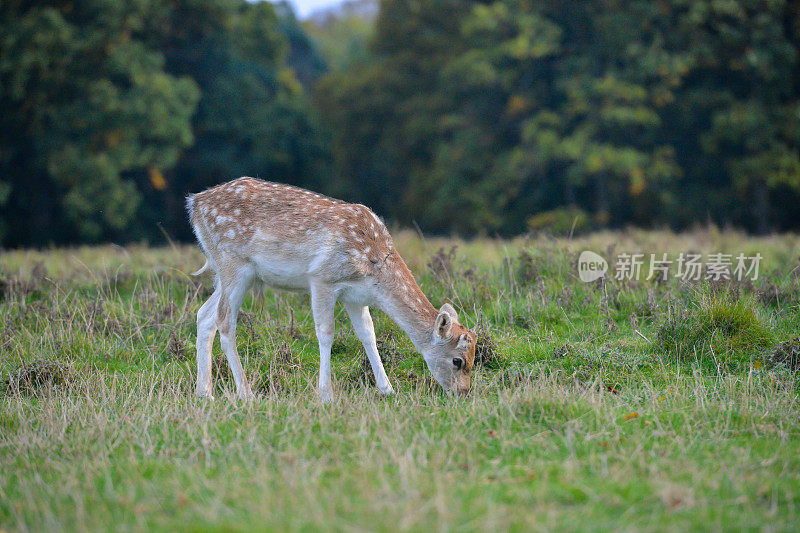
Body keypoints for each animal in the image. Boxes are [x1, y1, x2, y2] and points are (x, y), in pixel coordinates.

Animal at [188, 177, 476, 402]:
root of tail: (195, 203)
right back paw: (245, 393)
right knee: (225, 321)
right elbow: (326, 333)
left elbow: (368, 334)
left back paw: (205, 393)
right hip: (234, 263)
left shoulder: (356, 297)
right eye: (458, 361)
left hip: (224, 271)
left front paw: (388, 389)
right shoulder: (322, 279)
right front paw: (325, 394)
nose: (463, 393)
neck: (372, 263)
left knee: (204, 316)